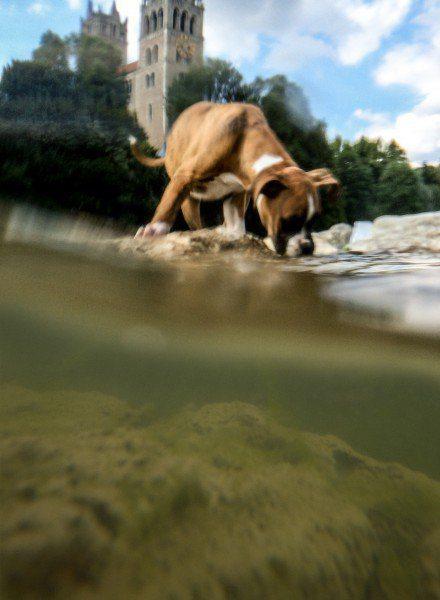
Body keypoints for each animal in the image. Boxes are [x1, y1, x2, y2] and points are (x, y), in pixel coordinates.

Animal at [131, 101, 340, 255]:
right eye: (289, 220)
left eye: (314, 220)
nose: (307, 248)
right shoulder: (184, 176)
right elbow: (168, 204)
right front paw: (154, 230)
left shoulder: (237, 195)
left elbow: (236, 225)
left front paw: (234, 237)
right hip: (189, 201)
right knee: (193, 221)